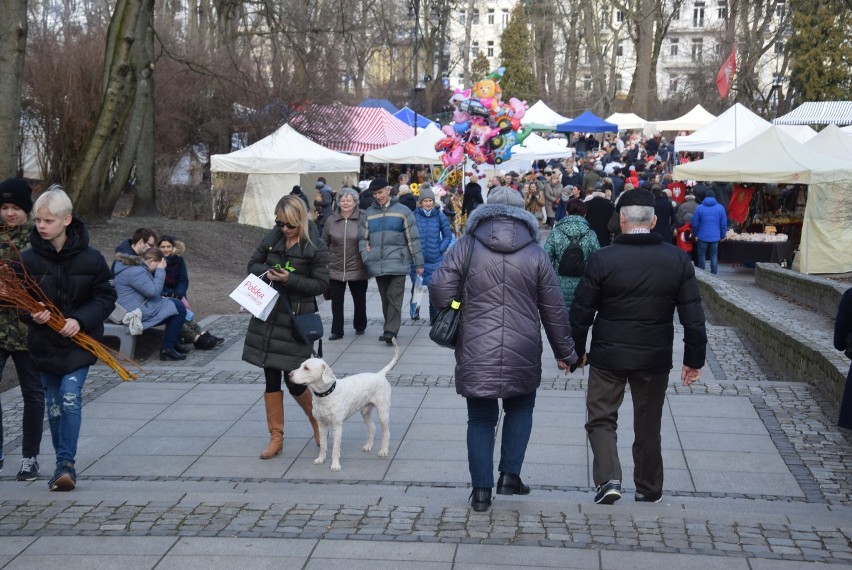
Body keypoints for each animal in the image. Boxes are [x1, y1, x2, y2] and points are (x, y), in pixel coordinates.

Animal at [290, 338, 400, 470]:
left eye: (306, 368)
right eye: (301, 365)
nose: (289, 374)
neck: (326, 395)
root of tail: (380, 374)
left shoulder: (337, 426)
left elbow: (335, 449)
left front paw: (335, 465)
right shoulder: (321, 424)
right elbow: (323, 445)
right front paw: (321, 459)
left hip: (383, 412)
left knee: (386, 433)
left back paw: (384, 451)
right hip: (365, 411)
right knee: (372, 427)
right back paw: (368, 446)